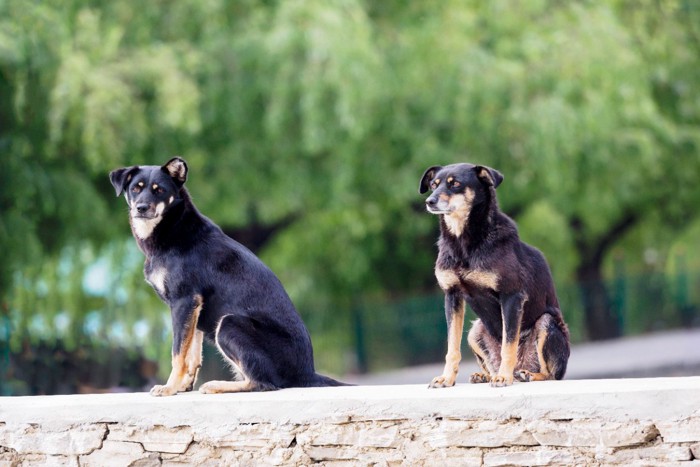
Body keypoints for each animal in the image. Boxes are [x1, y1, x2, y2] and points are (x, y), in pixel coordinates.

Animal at [108, 159, 344, 396]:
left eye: (160, 190)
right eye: (135, 188)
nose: (141, 208)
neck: (174, 227)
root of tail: (308, 373)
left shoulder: (184, 301)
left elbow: (178, 353)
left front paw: (169, 387)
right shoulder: (194, 307)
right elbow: (192, 352)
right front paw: (183, 386)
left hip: (228, 323)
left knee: (263, 383)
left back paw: (217, 385)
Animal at [422, 165, 568, 388]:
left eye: (455, 184)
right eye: (433, 185)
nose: (429, 201)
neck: (464, 242)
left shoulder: (512, 296)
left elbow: (509, 344)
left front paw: (503, 377)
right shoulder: (452, 296)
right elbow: (452, 347)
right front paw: (446, 378)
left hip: (546, 322)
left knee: (550, 374)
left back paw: (525, 374)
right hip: (475, 331)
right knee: (490, 365)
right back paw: (486, 375)